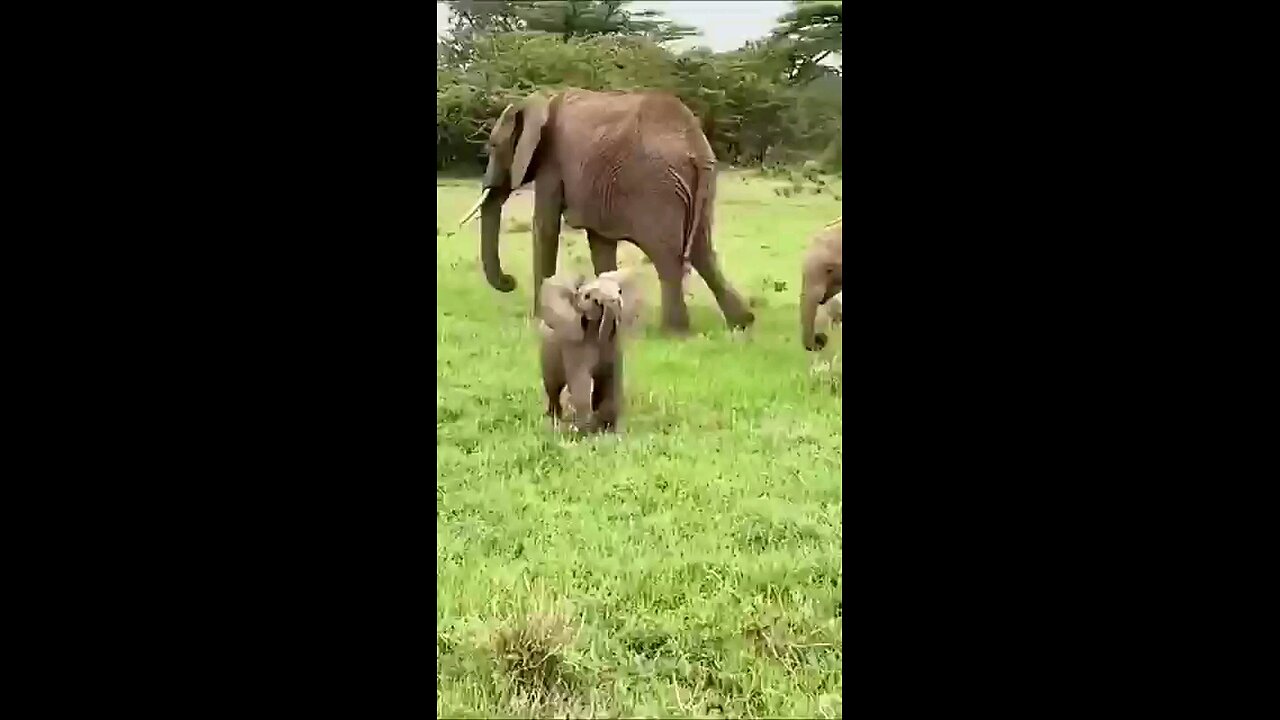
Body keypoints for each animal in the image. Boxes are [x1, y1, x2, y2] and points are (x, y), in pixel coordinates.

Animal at [457, 89, 755, 333]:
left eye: (494, 146)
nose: (510, 280)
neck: (538, 101)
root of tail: (695, 144)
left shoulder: (552, 163)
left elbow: (545, 227)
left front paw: (543, 319)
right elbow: (600, 243)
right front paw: (606, 317)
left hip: (657, 189)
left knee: (668, 257)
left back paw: (674, 332)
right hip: (702, 186)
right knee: (703, 253)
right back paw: (742, 323)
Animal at [538, 271, 638, 433]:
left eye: (620, 291)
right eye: (588, 297)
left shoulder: (614, 344)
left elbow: (610, 378)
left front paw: (608, 431)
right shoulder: (574, 344)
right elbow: (581, 379)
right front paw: (581, 431)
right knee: (553, 388)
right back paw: (555, 421)